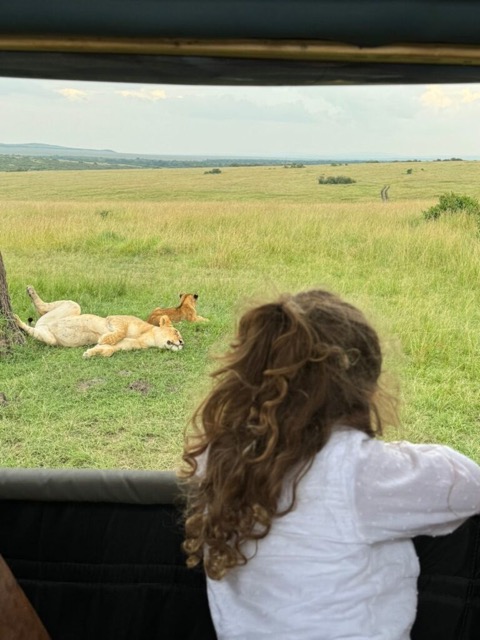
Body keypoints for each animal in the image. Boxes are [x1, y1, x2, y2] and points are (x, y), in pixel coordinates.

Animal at [14, 286, 184, 358]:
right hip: (73, 306)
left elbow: (108, 350)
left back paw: (19, 320)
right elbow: (119, 332)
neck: (147, 336)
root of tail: (42, 324)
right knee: (43, 306)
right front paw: (103, 339)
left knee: (34, 327)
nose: (182, 342)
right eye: (176, 331)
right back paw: (23, 303)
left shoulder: (121, 347)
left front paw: (90, 352)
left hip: (49, 337)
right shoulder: (116, 319)